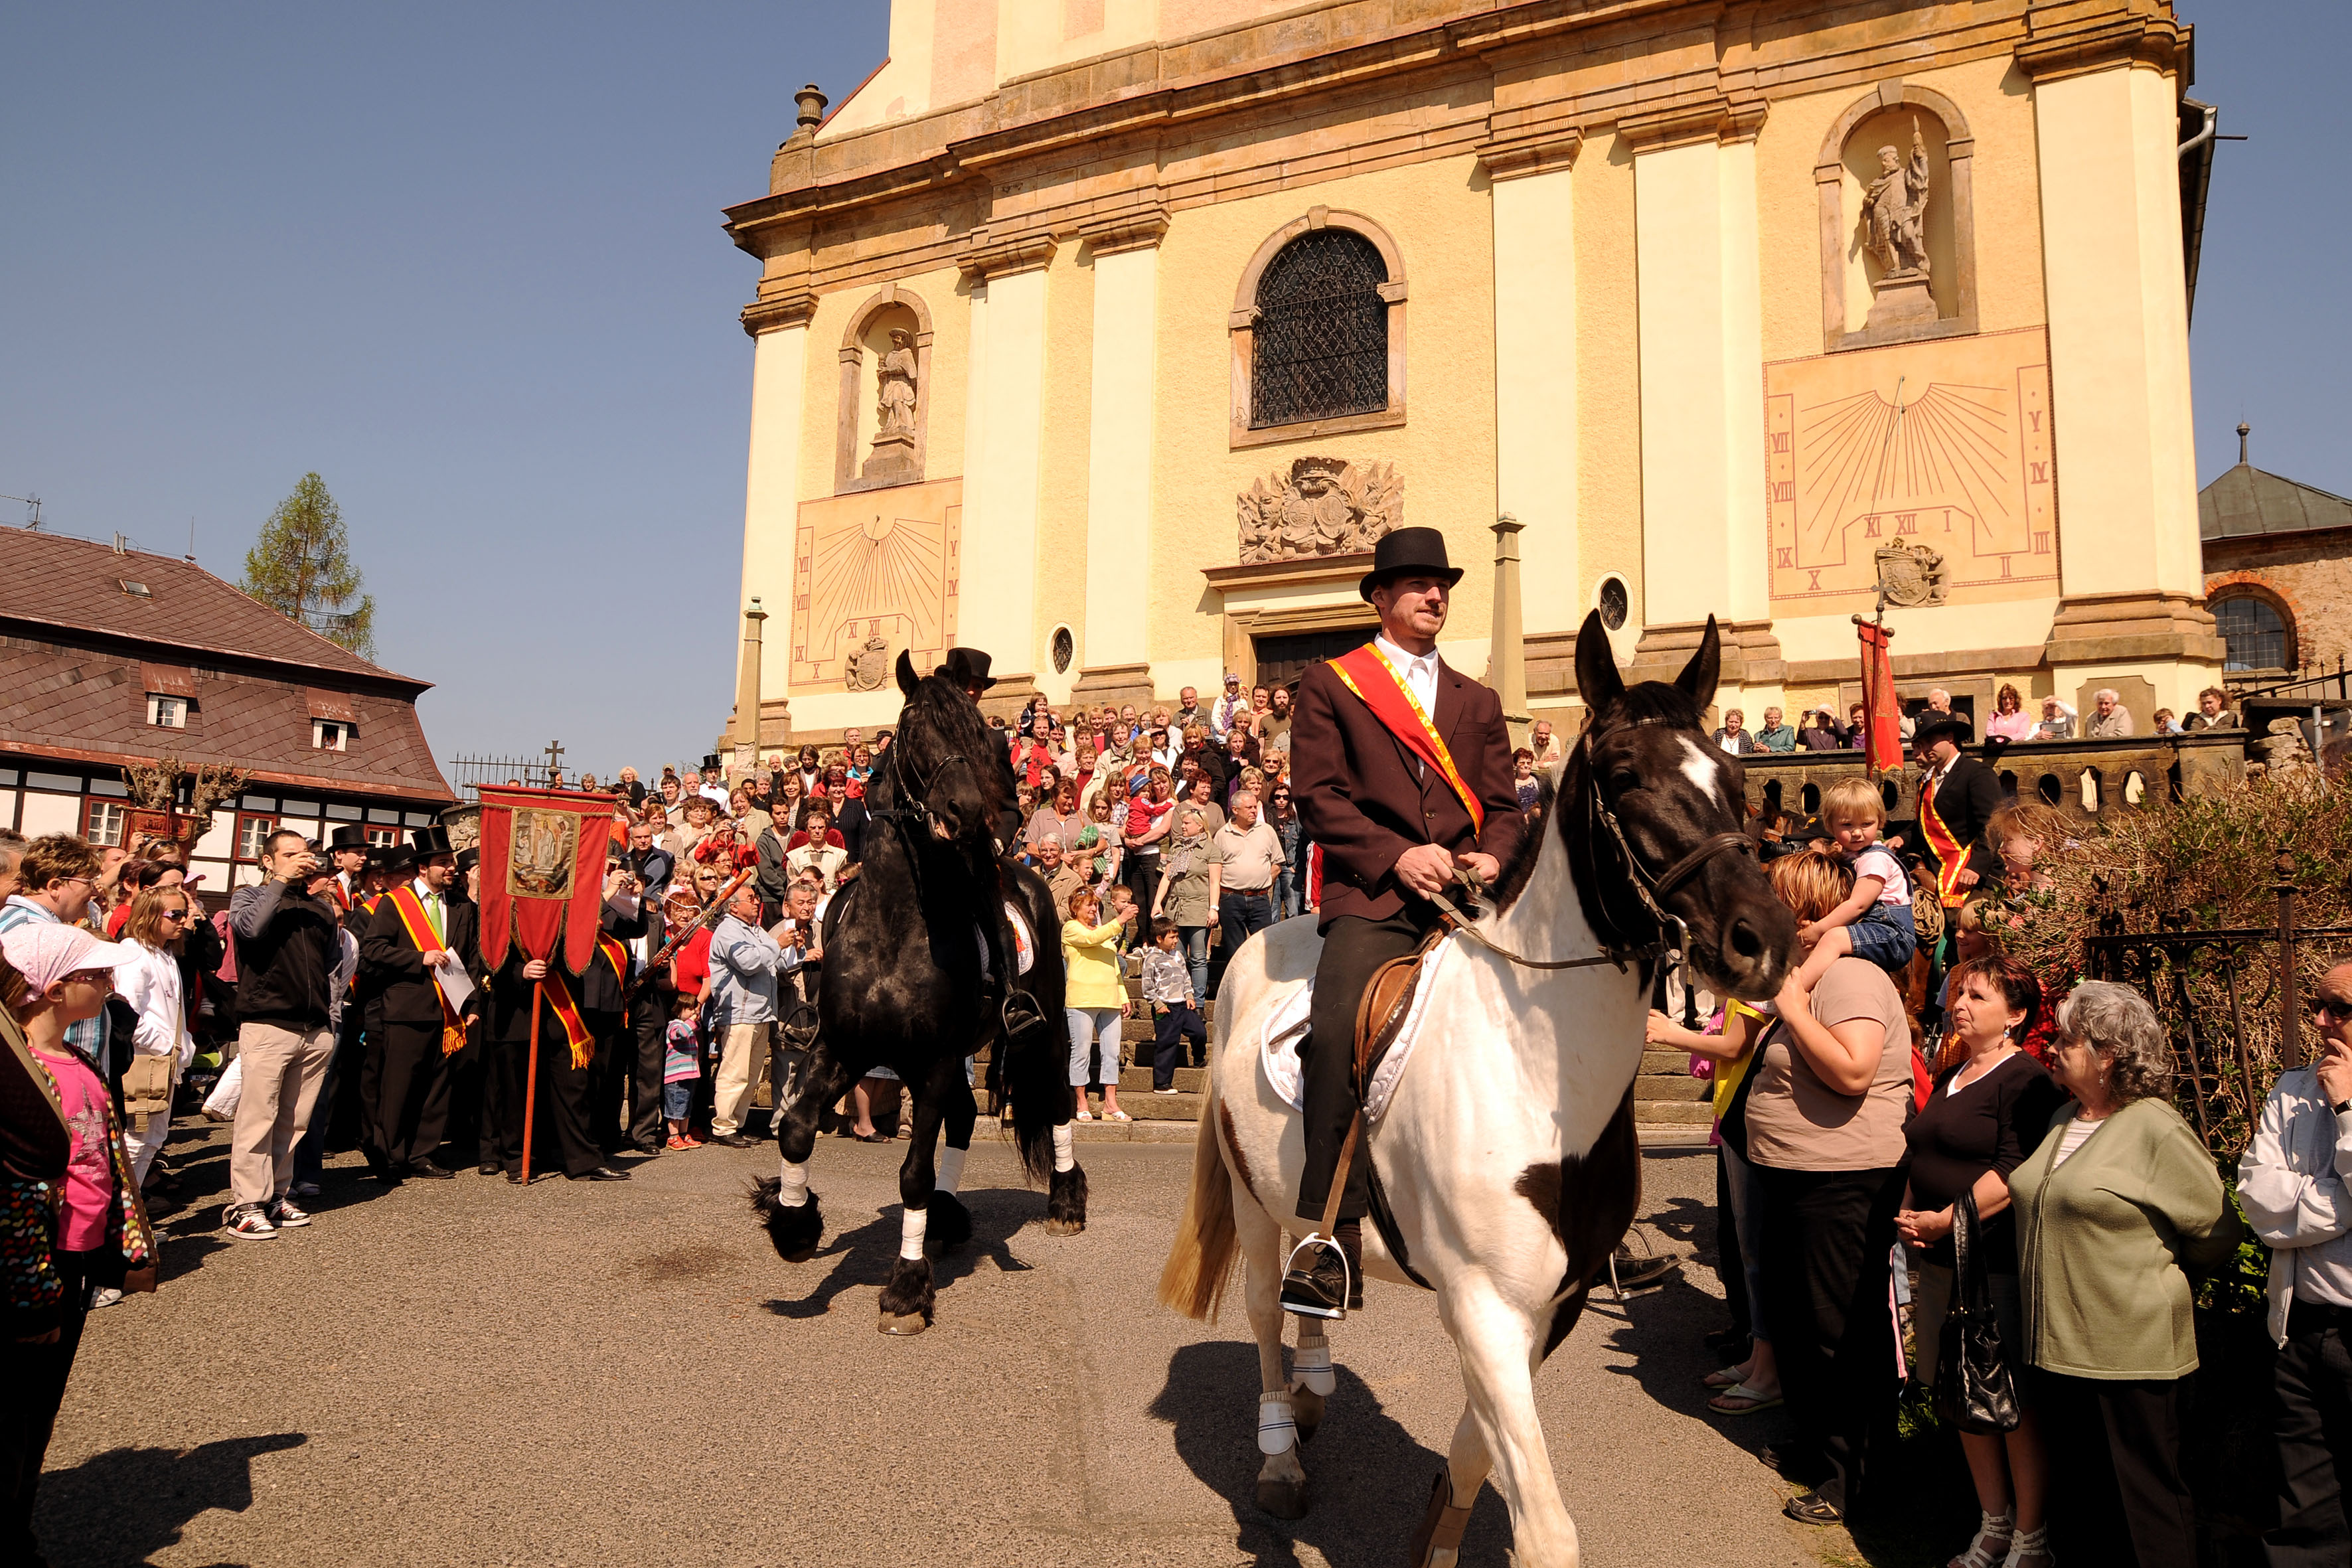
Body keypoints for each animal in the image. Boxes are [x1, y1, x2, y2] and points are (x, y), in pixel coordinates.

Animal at [752, 653, 1081, 1335]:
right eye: (912, 731)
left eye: (980, 737)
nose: (965, 812)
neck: (894, 926)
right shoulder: (842, 1049)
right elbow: (796, 1129)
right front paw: (795, 1225)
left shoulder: (931, 1062)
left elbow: (913, 1174)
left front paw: (905, 1289)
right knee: (964, 1118)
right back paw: (949, 1217)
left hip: (1044, 1029)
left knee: (1058, 1099)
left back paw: (1065, 1202)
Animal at [1152, 615, 1778, 1568]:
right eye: (1624, 776)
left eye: (1734, 776)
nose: (1765, 939)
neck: (1534, 1076)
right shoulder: (1484, 1305)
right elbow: (1544, 1525)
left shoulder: (1548, 1309)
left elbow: (1477, 1457)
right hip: (1253, 1205)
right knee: (1262, 1311)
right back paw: (1280, 1456)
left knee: (1307, 1274)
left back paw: (1313, 1378)